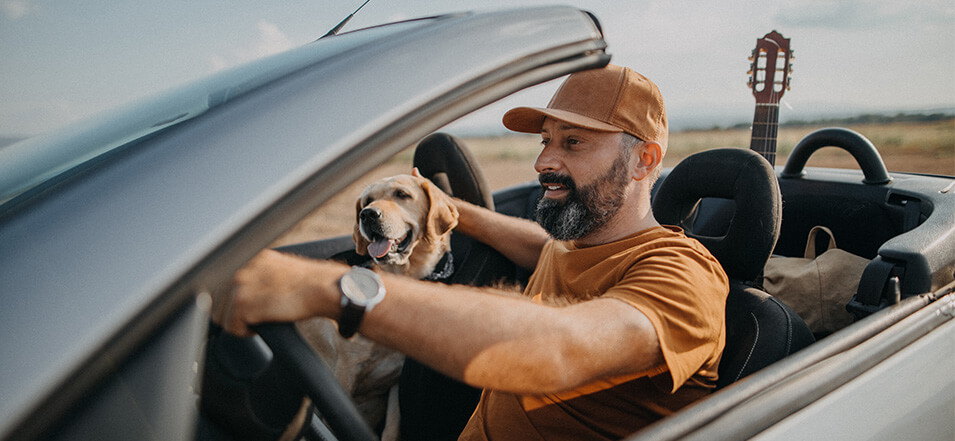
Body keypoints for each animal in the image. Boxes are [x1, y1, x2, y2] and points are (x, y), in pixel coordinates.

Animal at [300, 168, 462, 436]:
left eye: (402, 194)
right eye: (367, 201)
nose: (367, 214)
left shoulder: (398, 380)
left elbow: (392, 427)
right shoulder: (345, 372)